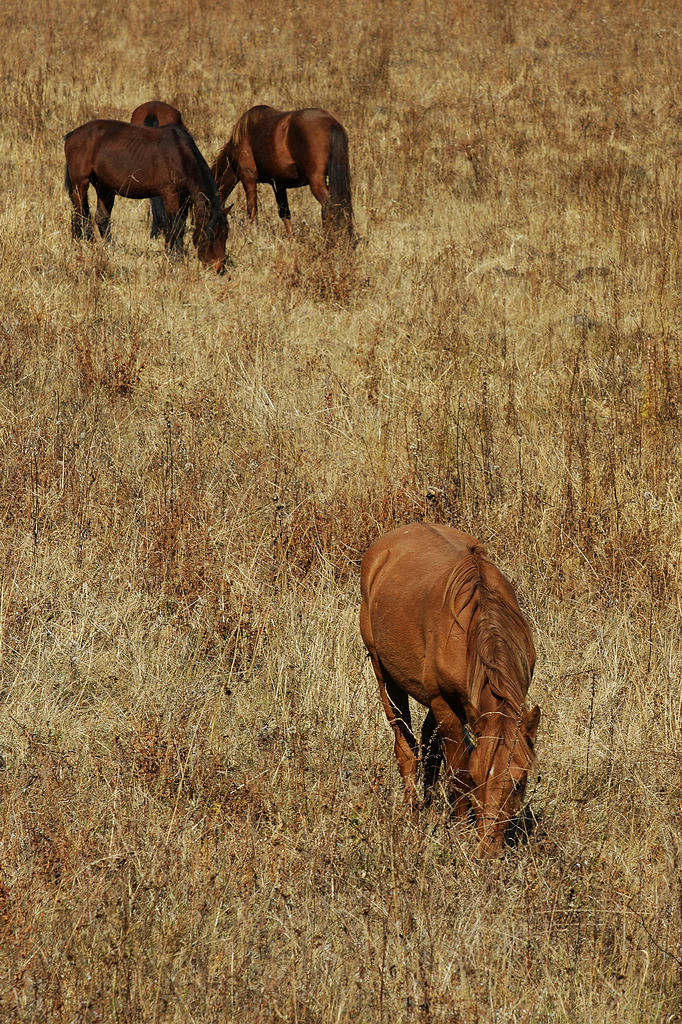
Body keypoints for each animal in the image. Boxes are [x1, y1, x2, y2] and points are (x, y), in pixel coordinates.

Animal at [64, 118, 228, 272]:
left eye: (226, 235)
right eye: (211, 236)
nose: (219, 268)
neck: (180, 155)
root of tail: (72, 134)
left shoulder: (183, 196)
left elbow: (179, 225)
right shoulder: (169, 193)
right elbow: (174, 225)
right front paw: (175, 257)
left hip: (104, 187)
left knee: (101, 218)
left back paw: (109, 248)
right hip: (80, 183)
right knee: (79, 214)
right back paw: (81, 244)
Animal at [210, 106, 350, 239]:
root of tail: (331, 122)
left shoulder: (248, 178)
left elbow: (252, 211)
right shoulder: (278, 185)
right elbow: (285, 214)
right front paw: (290, 240)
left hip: (316, 181)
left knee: (329, 207)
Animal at [358, 520, 540, 856]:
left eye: (520, 781)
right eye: (480, 777)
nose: (488, 850)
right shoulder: (445, 705)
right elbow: (458, 771)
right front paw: (460, 831)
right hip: (383, 674)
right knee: (406, 744)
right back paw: (413, 809)